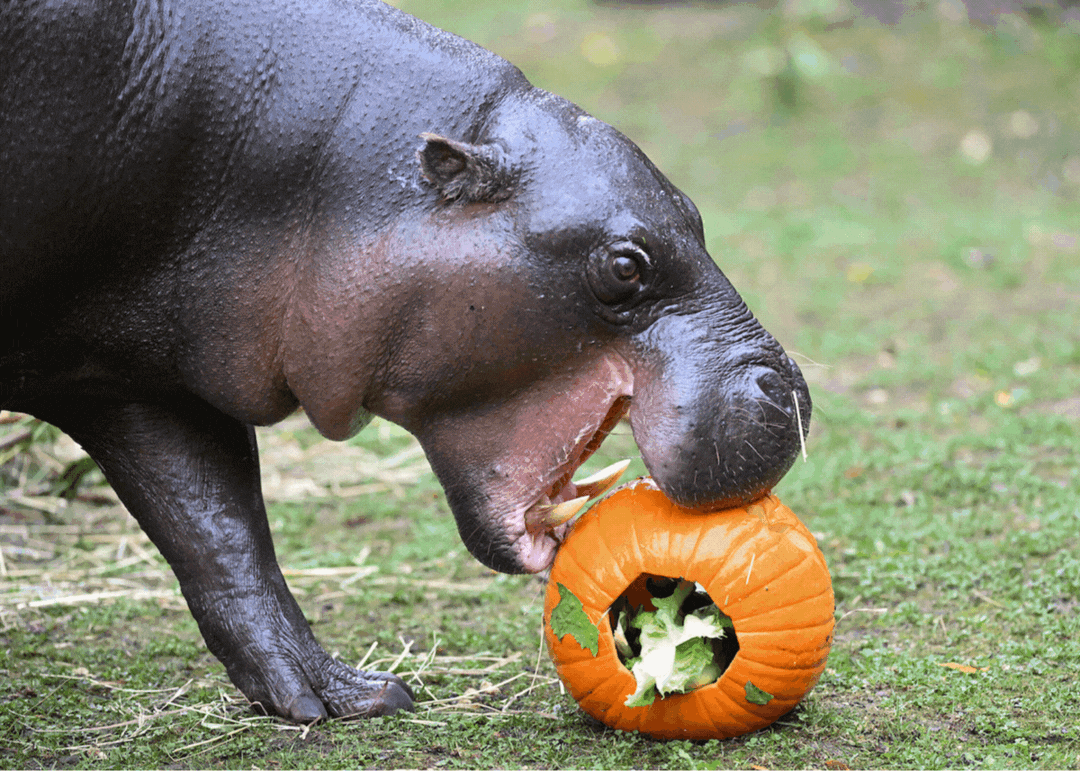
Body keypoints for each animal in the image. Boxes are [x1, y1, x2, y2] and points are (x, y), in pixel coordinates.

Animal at [0, 0, 810, 722]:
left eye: (696, 214)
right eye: (625, 265)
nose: (792, 392)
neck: (326, 175)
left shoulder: (139, 378)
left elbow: (218, 528)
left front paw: (336, 697)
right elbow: (215, 523)